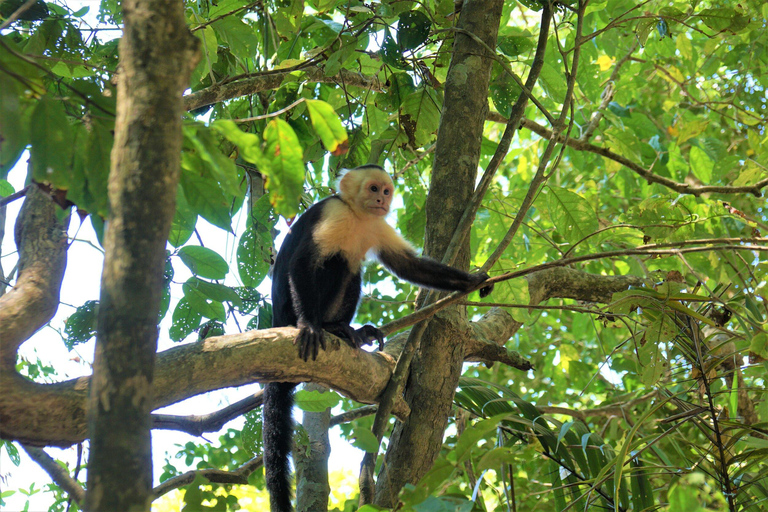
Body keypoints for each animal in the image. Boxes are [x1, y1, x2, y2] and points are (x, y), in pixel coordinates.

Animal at [264, 164, 492, 512]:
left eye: (385, 191)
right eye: (373, 189)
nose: (381, 200)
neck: (357, 215)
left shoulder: (378, 224)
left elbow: (409, 265)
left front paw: (471, 280)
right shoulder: (333, 213)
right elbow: (303, 263)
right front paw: (310, 326)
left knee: (352, 267)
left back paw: (349, 331)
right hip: (288, 309)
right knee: (337, 260)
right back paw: (328, 327)